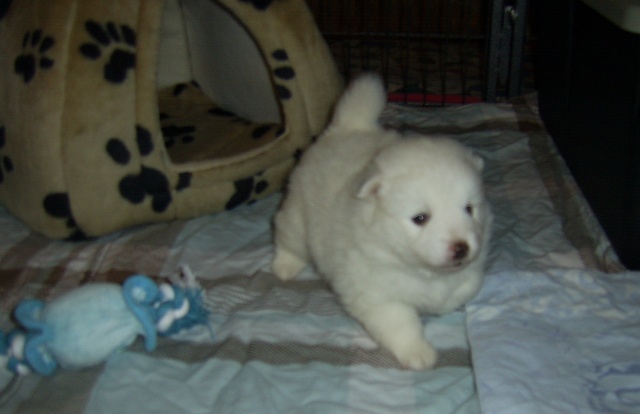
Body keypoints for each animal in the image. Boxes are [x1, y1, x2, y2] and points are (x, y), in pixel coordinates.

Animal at [272, 74, 492, 370]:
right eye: (420, 218)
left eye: (469, 209)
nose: (461, 248)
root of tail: (347, 128)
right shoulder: (377, 295)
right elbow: (402, 323)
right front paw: (418, 352)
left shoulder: (468, 273)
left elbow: (466, 287)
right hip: (298, 218)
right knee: (286, 235)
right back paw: (284, 266)